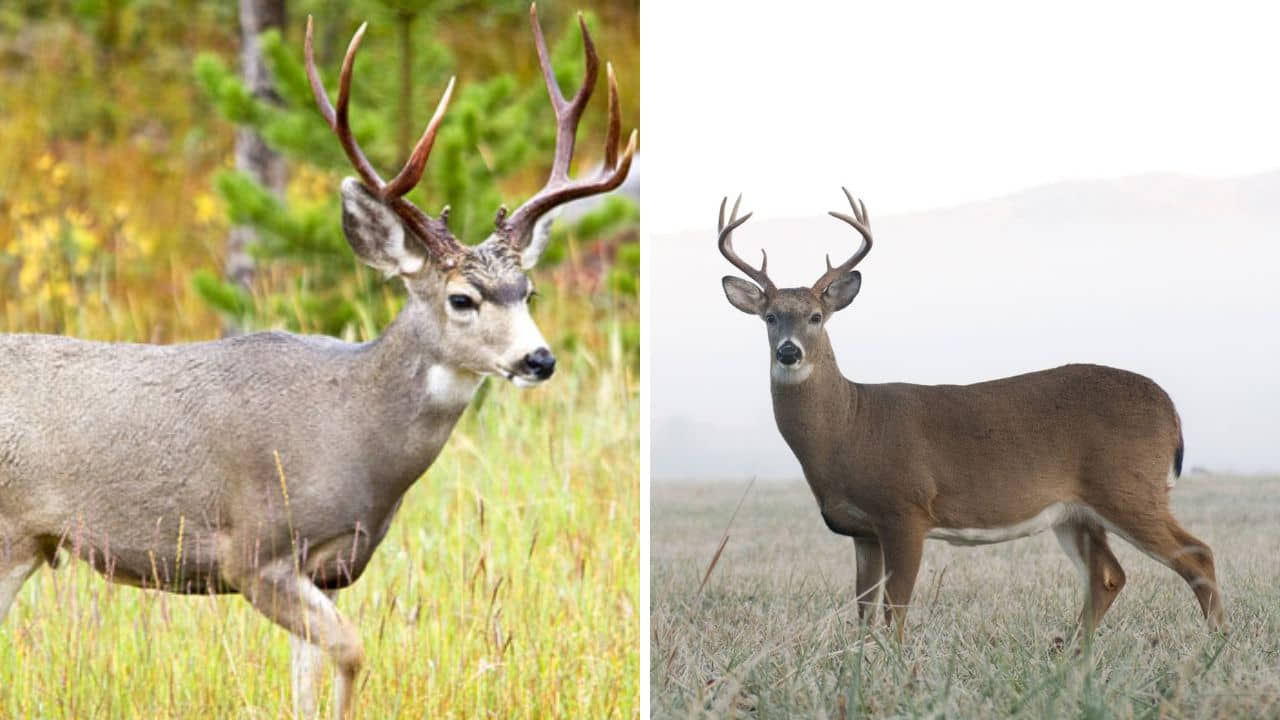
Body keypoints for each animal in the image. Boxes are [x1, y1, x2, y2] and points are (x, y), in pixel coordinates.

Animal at [0, 6, 634, 719]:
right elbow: (353, 651)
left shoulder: (330, 567)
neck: (354, 430)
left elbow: (306, 680)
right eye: (461, 298)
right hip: (10, 531)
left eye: (529, 291)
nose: (539, 359)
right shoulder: (255, 550)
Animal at [716, 190, 1225, 643]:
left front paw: (894, 667)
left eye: (817, 316)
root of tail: (1170, 408)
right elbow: (863, 611)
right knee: (1109, 576)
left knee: (1198, 555)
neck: (849, 427)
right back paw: (1074, 654)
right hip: (1076, 511)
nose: (788, 352)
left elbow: (895, 611)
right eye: (770, 318)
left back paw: (1216, 643)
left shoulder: (905, 509)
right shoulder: (862, 530)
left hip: (1129, 488)